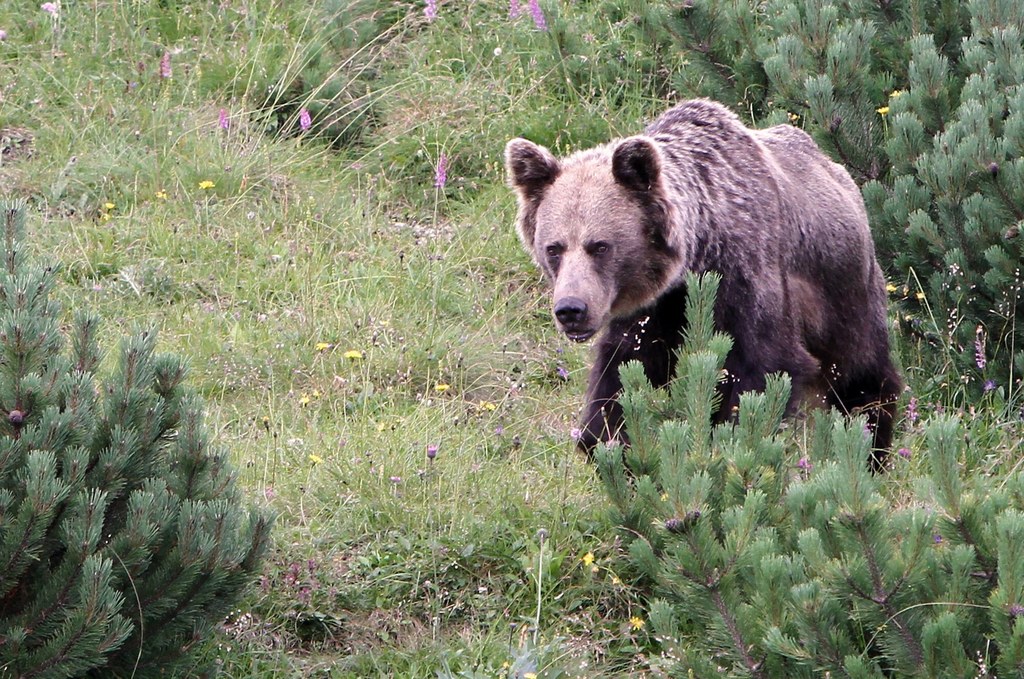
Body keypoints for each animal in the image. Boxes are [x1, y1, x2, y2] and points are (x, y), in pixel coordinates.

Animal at [507, 96, 901, 467]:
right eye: (554, 248)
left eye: (600, 246)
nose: (571, 309)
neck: (697, 253)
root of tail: (839, 170)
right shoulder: (654, 308)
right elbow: (623, 370)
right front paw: (605, 440)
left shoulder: (745, 275)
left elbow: (765, 367)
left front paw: (731, 437)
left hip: (844, 291)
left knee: (861, 373)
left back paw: (872, 447)